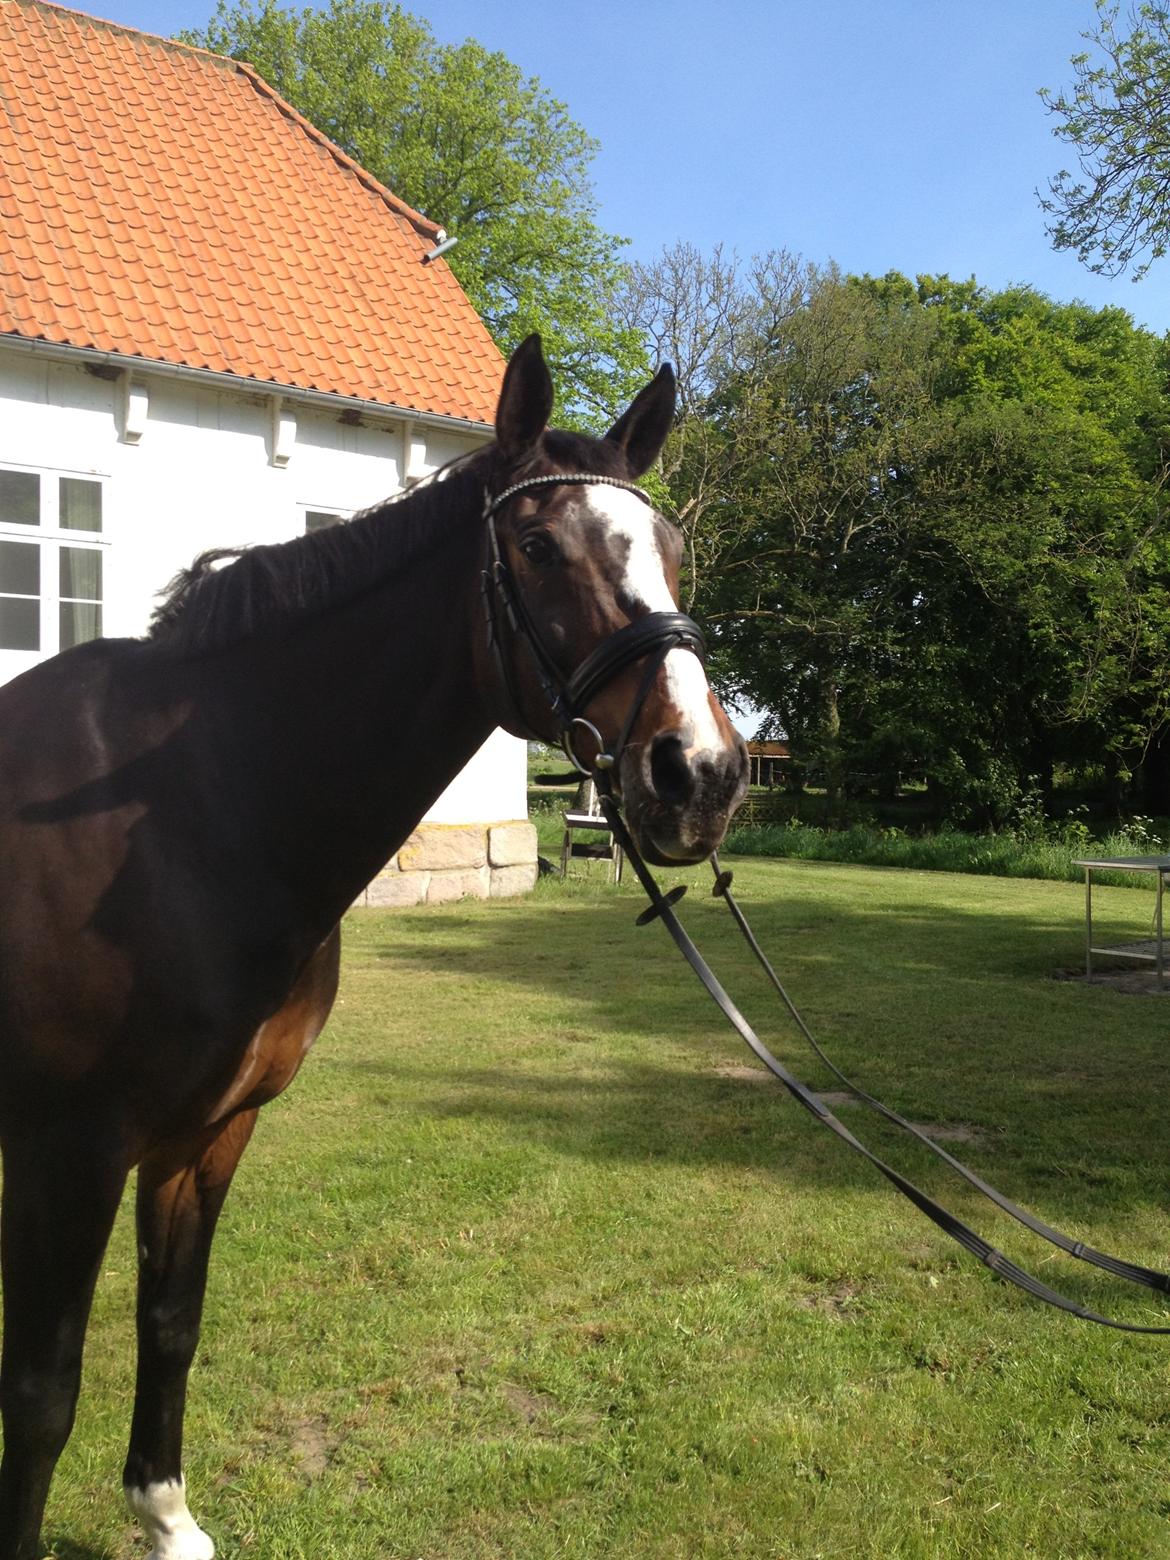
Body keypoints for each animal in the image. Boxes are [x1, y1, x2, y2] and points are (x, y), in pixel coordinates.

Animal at [0, 335, 751, 1553]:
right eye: (537, 548)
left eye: (673, 551)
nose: (702, 775)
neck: (200, 813)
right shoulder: (66, 1153)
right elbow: (40, 1394)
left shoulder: (206, 1137)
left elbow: (170, 1322)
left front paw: (166, 1515)